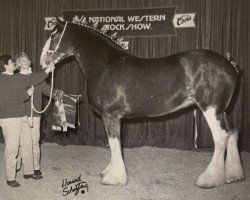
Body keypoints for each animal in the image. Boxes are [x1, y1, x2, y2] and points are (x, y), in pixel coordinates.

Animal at [40, 18, 245, 188]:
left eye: (53, 35)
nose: (43, 63)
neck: (105, 64)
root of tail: (230, 65)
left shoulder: (110, 115)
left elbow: (114, 143)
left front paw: (114, 178)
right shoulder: (112, 118)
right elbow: (114, 144)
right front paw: (109, 171)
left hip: (211, 109)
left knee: (221, 138)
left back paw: (208, 179)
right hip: (223, 111)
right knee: (233, 133)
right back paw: (233, 175)